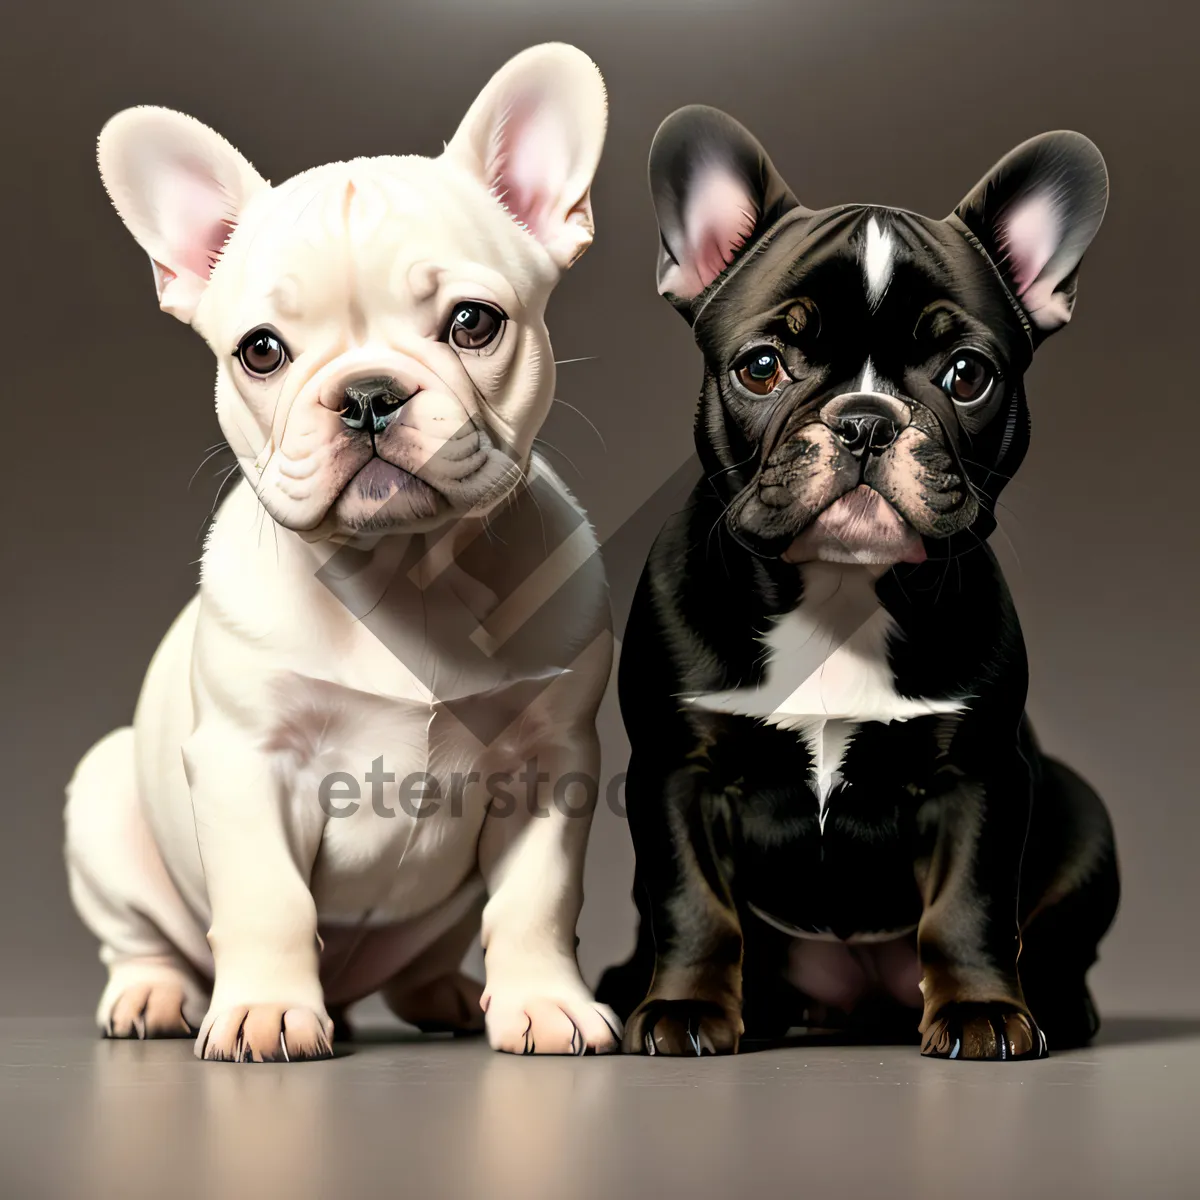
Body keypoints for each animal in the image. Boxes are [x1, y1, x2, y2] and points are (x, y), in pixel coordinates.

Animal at [62, 44, 619, 1060]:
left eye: (474, 323)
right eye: (261, 350)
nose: (366, 394)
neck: (406, 568)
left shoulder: (549, 763)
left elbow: (537, 901)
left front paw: (545, 1005)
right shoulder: (249, 760)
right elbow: (267, 901)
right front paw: (265, 1011)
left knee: (427, 959)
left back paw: (450, 995)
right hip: (106, 801)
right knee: (143, 939)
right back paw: (154, 996)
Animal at [604, 105, 1118, 1060]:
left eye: (968, 375)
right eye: (762, 365)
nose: (867, 419)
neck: (840, 595)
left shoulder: (981, 776)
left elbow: (968, 907)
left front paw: (981, 1012)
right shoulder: (674, 771)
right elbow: (693, 904)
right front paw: (686, 1008)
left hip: (1083, 816)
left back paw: (1058, 1007)